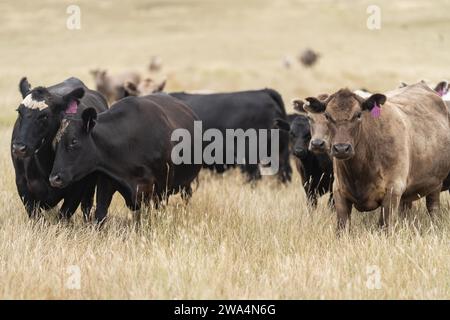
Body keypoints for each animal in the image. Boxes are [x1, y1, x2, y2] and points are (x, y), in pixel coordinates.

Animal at [11, 76, 108, 219]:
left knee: (86, 205)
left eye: (44, 116)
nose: (19, 148)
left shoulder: (78, 187)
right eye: (19, 112)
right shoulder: (22, 182)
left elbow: (64, 214)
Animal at [48, 93, 201, 222]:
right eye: (55, 143)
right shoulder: (106, 181)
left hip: (185, 183)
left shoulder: (161, 187)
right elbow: (100, 214)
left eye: (74, 141)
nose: (54, 179)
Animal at [300, 82, 450, 232]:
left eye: (358, 114)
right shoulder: (339, 192)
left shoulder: (393, 192)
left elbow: (385, 226)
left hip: (435, 184)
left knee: (433, 207)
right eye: (327, 115)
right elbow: (342, 228)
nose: (341, 148)